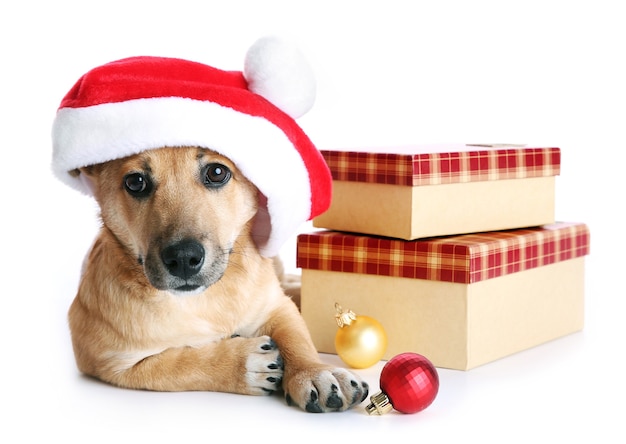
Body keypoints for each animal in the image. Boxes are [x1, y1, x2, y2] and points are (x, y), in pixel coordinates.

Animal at [67, 146, 370, 412]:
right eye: (135, 182)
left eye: (216, 172)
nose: (183, 259)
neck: (204, 298)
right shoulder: (112, 361)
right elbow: (176, 366)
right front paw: (243, 364)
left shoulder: (275, 306)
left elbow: (297, 338)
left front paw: (316, 373)